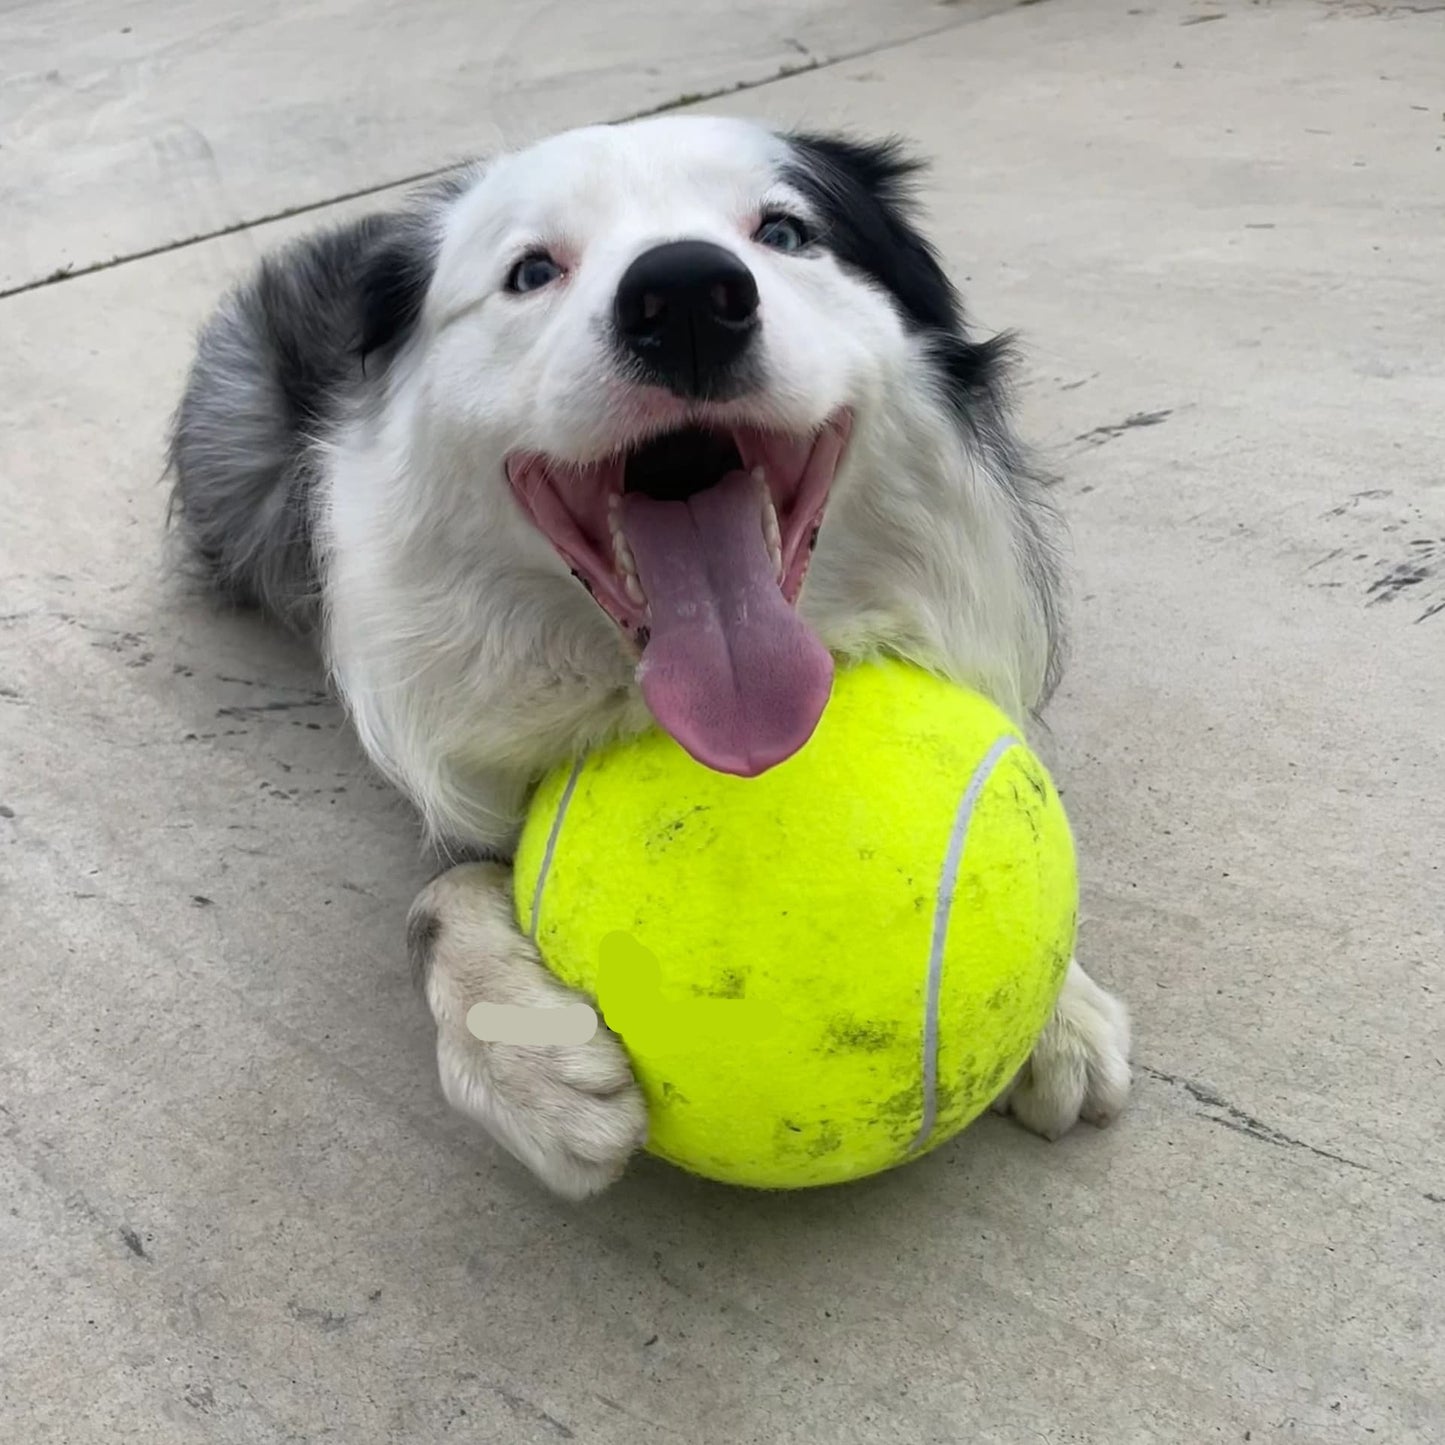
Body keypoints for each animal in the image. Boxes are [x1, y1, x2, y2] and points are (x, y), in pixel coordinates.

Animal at [169, 115, 1132, 1196]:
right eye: (531, 269)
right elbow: (438, 891)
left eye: (785, 231)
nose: (683, 297)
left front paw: (1059, 1006)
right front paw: (529, 1060)